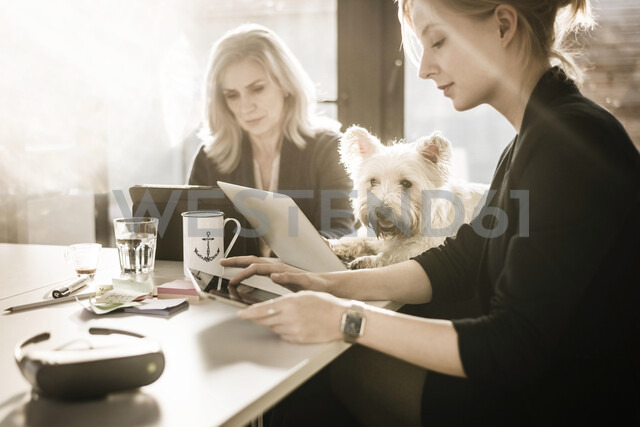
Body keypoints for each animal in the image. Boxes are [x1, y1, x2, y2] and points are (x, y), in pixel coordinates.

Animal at [332, 125, 488, 270]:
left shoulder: (428, 246)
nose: (380, 212)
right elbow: (359, 240)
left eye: (406, 183)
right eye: (373, 181)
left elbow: (394, 255)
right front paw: (333, 244)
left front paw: (367, 261)